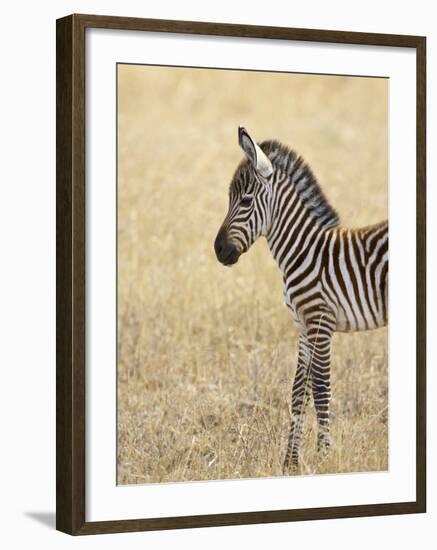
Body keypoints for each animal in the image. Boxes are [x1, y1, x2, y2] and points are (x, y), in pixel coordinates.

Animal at [213, 127, 386, 472]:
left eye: (246, 200)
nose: (218, 250)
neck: (303, 249)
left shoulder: (320, 322)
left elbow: (320, 389)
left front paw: (324, 456)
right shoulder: (304, 327)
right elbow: (298, 391)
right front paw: (290, 462)